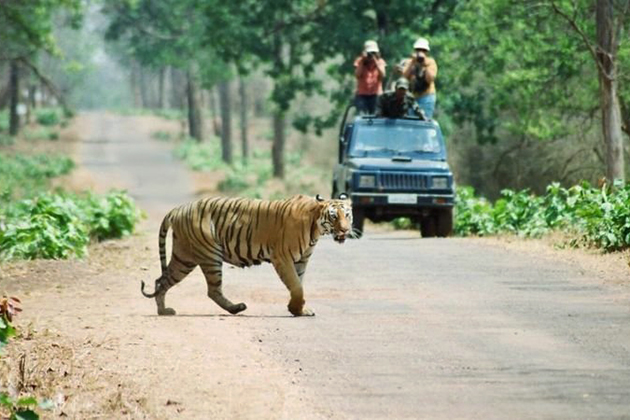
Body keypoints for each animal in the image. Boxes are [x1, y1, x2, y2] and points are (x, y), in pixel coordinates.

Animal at [140, 194, 354, 316]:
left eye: (347, 215)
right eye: (334, 217)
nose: (345, 230)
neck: (315, 227)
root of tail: (179, 208)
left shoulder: (301, 261)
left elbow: (299, 285)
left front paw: (299, 310)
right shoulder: (282, 257)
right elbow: (296, 286)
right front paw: (296, 309)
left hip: (184, 257)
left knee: (162, 280)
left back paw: (163, 311)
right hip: (209, 255)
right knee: (212, 290)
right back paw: (237, 308)